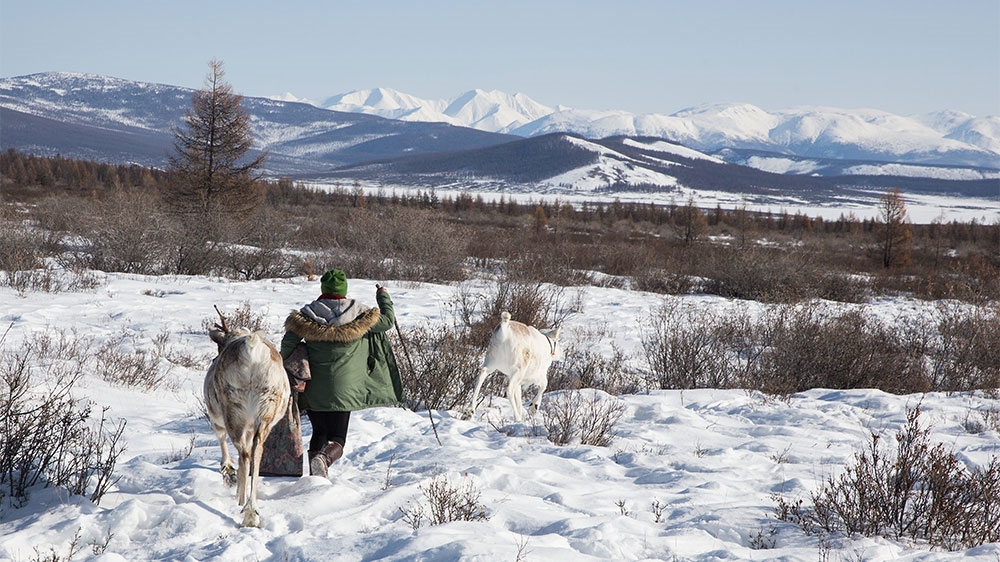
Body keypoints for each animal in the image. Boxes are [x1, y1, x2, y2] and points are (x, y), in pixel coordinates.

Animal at [205, 306, 290, 528]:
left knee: (244, 453)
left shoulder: (216, 418)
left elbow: (222, 441)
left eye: (218, 347)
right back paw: (252, 509)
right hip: (267, 408)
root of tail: (252, 351)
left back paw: (244, 505)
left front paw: (228, 473)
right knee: (256, 450)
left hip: (234, 411)